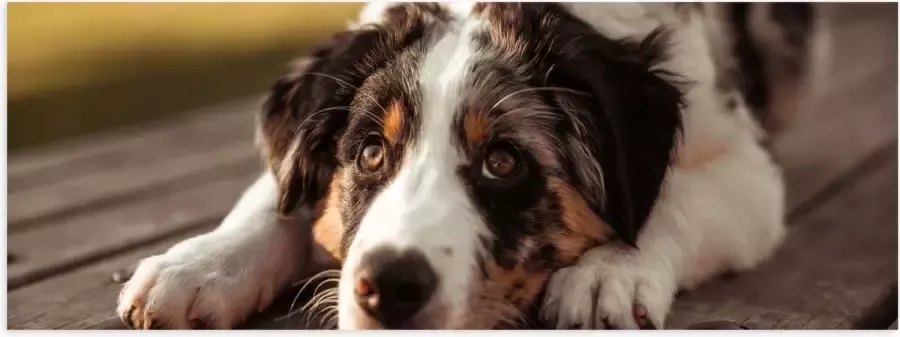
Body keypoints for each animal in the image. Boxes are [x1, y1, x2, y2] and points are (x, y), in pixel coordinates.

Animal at [116, 2, 812, 328]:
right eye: (370, 153)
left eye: (503, 161)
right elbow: (275, 194)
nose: (388, 288)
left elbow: (673, 200)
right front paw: (199, 267)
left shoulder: (748, 167)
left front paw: (607, 272)